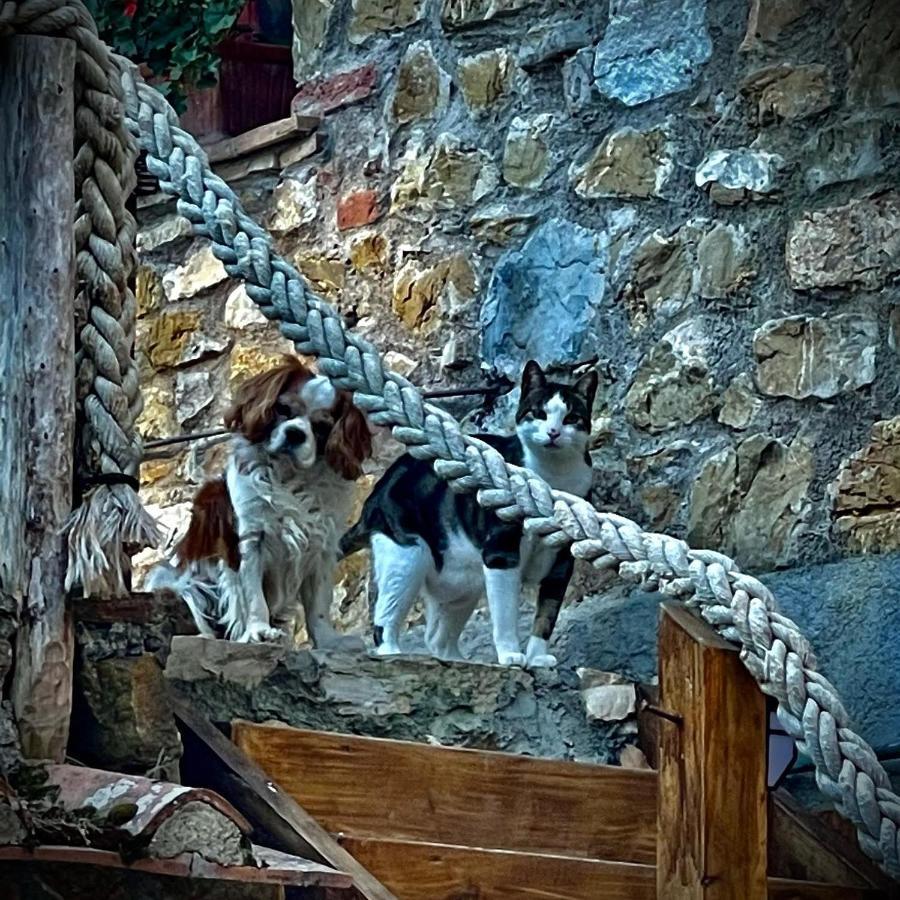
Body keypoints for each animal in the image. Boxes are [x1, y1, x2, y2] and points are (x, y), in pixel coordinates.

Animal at [149, 356, 372, 648]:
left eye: (322, 428)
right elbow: (254, 596)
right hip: (188, 585)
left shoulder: (322, 548)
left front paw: (327, 640)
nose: (295, 433)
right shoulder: (249, 541)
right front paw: (258, 631)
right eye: (283, 409)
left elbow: (318, 606)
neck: (290, 476)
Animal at [340, 360, 596, 668]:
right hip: (406, 556)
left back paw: (457, 659)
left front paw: (537, 658)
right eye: (539, 413)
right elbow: (505, 613)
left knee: (437, 637)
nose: (554, 432)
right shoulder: (501, 552)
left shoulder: (561, 564)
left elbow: (547, 615)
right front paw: (511, 654)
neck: (554, 476)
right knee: (384, 621)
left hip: (461, 583)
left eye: (571, 417)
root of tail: (373, 497)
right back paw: (393, 652)